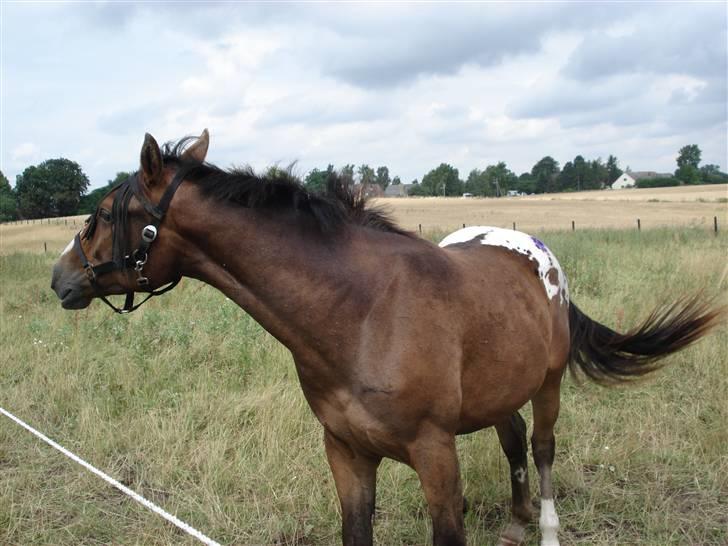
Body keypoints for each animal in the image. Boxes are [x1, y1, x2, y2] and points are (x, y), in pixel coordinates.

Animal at [49, 130, 724, 540]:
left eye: (104, 214)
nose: (61, 278)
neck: (362, 311)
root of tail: (535, 250)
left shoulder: (435, 455)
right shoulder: (347, 454)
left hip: (550, 384)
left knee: (542, 448)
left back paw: (546, 526)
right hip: (498, 391)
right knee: (512, 439)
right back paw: (514, 521)